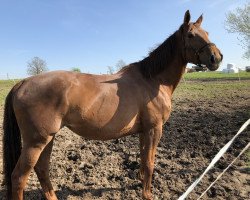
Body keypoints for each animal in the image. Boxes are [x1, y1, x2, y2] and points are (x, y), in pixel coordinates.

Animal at [2, 11, 223, 200]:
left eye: (207, 32)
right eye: (191, 35)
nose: (217, 57)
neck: (152, 80)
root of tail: (23, 82)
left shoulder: (144, 131)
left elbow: (143, 161)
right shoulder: (154, 129)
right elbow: (150, 163)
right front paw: (147, 195)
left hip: (47, 138)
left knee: (42, 169)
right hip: (36, 142)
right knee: (19, 177)